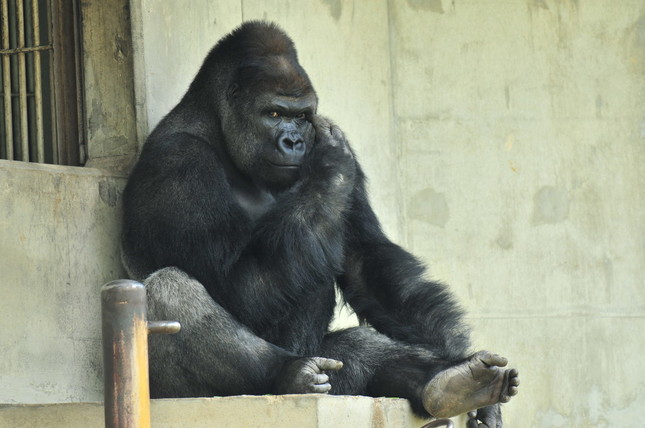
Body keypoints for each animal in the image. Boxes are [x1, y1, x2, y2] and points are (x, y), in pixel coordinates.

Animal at [122, 21, 520, 426]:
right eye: (274, 114)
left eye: (301, 116)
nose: (294, 141)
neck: (216, 127)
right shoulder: (179, 165)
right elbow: (234, 286)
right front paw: (330, 164)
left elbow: (367, 262)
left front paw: (462, 365)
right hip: (175, 392)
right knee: (169, 290)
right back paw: (287, 374)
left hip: (330, 370)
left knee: (356, 348)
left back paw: (450, 382)